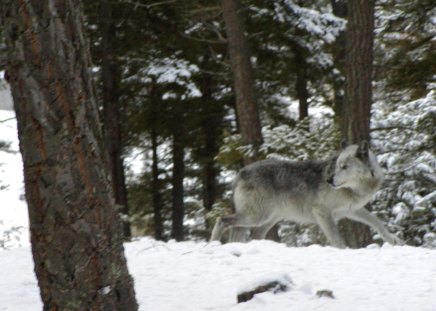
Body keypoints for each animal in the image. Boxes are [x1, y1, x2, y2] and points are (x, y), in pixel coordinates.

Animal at [211, 143, 402, 250]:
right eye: (338, 166)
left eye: (344, 167)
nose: (329, 180)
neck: (354, 189)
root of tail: (240, 173)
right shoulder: (322, 212)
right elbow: (336, 239)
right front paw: (343, 251)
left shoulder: (352, 211)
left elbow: (377, 222)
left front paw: (394, 240)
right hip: (257, 216)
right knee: (222, 220)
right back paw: (212, 245)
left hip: (267, 219)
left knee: (248, 234)